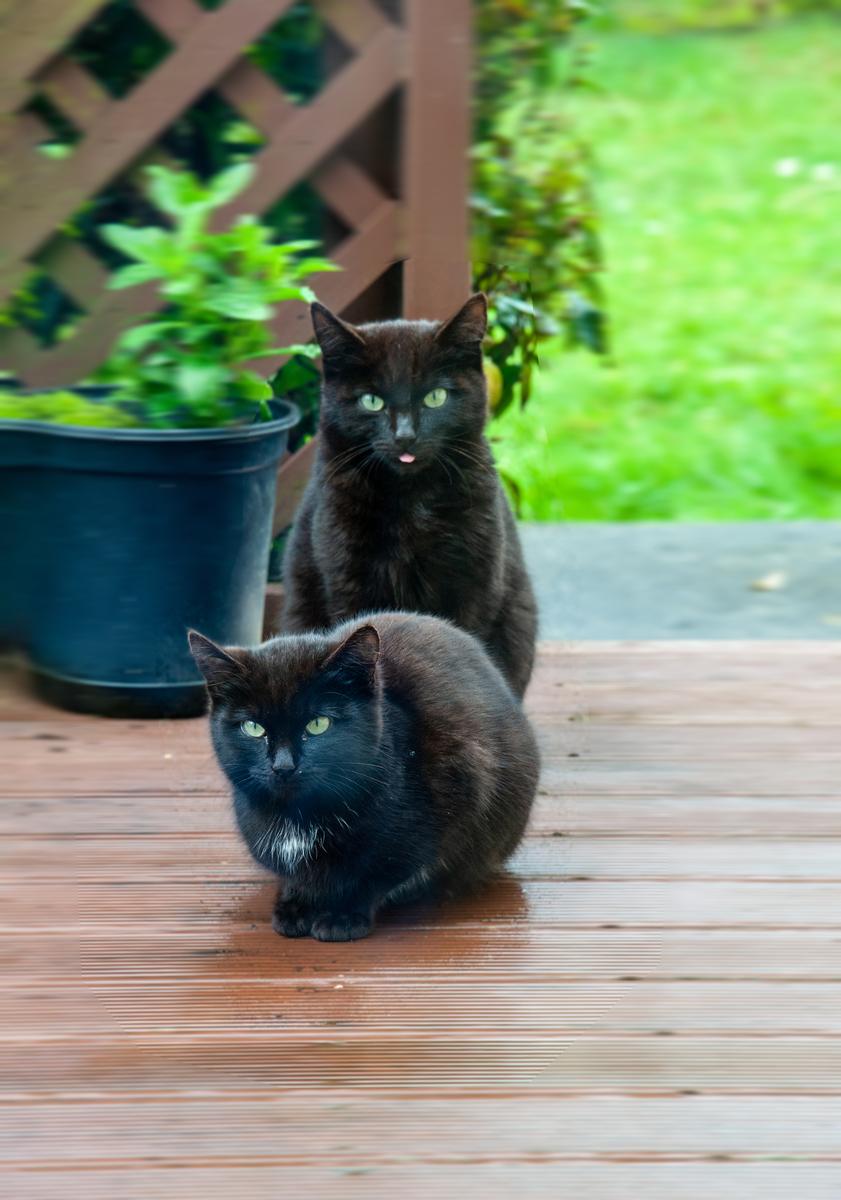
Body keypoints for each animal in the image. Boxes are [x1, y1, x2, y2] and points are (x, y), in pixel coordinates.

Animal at [188, 614, 537, 940]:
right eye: (253, 728)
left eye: (318, 724)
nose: (283, 766)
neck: (298, 816)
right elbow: (297, 877)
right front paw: (295, 904)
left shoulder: (459, 787)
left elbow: (375, 874)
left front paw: (341, 916)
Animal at [278, 291, 535, 700]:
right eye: (372, 400)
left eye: (435, 396)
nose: (405, 436)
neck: (410, 500)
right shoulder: (347, 576)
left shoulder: (473, 582)